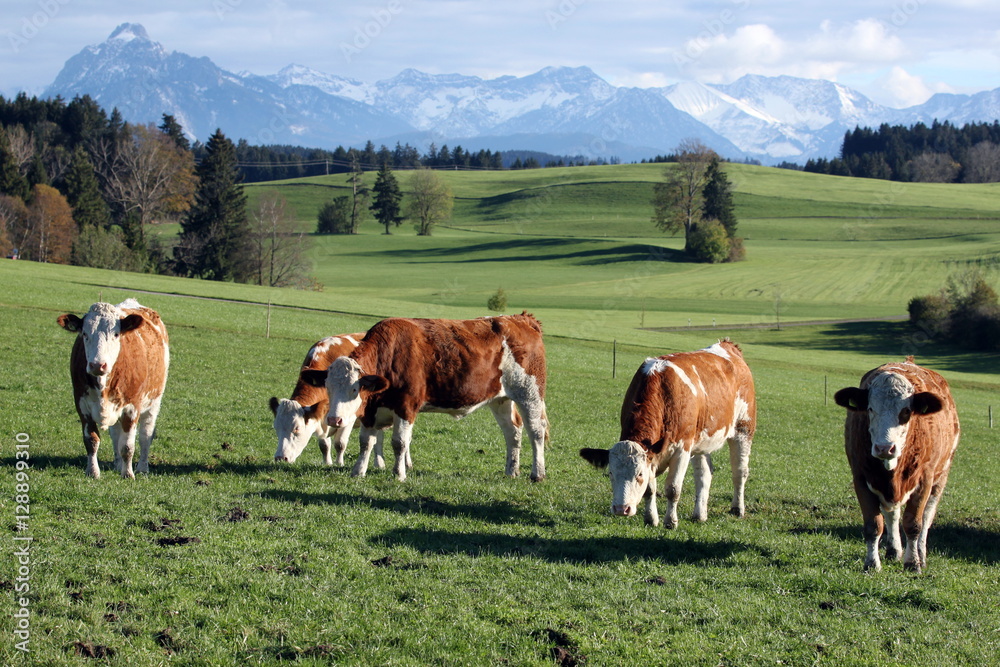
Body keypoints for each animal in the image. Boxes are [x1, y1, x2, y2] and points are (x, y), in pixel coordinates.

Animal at [56, 298, 169, 480]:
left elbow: (128, 446)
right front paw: (93, 472)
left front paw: (128, 474)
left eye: (116, 334)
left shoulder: (132, 407)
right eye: (85, 334)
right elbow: (92, 440)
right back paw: (117, 464)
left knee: (146, 435)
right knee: (116, 434)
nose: (97, 365)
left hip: (154, 402)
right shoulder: (82, 405)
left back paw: (142, 467)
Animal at [272, 334, 392, 470]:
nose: (280, 458)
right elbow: (324, 445)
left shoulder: (348, 418)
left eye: (297, 428)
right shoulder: (322, 418)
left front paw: (339, 463)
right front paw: (327, 463)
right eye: (276, 427)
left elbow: (340, 443)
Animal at [300, 314, 548, 480]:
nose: (334, 420)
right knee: (512, 432)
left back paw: (537, 473)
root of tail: (519, 318)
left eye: (354, 390)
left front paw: (399, 474)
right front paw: (358, 471)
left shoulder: (406, 405)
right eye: (328, 388)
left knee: (536, 431)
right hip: (500, 399)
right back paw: (511, 471)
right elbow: (366, 442)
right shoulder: (371, 410)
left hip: (530, 393)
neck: (391, 355)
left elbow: (399, 442)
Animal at [580, 342, 756, 528]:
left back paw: (737, 509)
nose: (621, 509)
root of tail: (728, 345)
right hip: (701, 441)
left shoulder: (682, 448)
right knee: (704, 474)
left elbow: (673, 489)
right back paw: (699, 514)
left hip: (743, 429)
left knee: (740, 472)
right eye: (611, 473)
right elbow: (650, 490)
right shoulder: (653, 455)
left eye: (639, 475)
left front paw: (670, 522)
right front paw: (651, 519)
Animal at [832, 360, 956, 576]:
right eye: (870, 409)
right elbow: (873, 525)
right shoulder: (861, 478)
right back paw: (894, 550)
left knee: (927, 516)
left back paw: (921, 555)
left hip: (940, 478)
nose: (884, 448)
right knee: (893, 514)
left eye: (906, 411)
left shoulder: (924, 480)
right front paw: (872, 563)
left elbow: (914, 524)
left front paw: (913, 563)